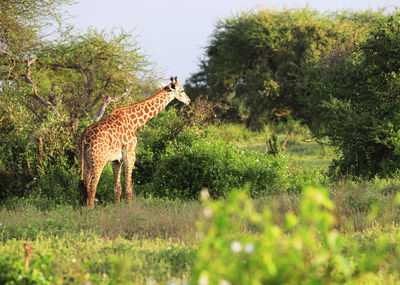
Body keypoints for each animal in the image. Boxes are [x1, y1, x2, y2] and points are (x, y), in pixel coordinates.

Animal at [77, 77, 191, 206]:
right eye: (182, 90)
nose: (188, 100)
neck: (134, 122)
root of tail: (83, 139)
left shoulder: (116, 160)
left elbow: (117, 188)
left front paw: (117, 207)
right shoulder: (130, 154)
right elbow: (129, 187)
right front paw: (129, 207)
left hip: (84, 160)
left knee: (84, 184)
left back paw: (85, 207)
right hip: (99, 160)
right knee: (92, 185)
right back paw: (91, 209)